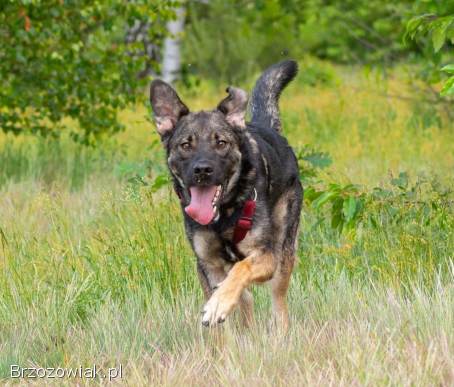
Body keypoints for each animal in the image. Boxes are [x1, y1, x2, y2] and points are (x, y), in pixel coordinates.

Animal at [151, 61, 304, 334]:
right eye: (185, 145)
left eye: (221, 143)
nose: (202, 170)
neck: (223, 217)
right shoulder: (207, 265)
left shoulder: (266, 257)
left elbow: (242, 270)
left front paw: (219, 304)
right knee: (247, 299)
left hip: (284, 250)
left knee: (277, 299)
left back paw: (280, 333)